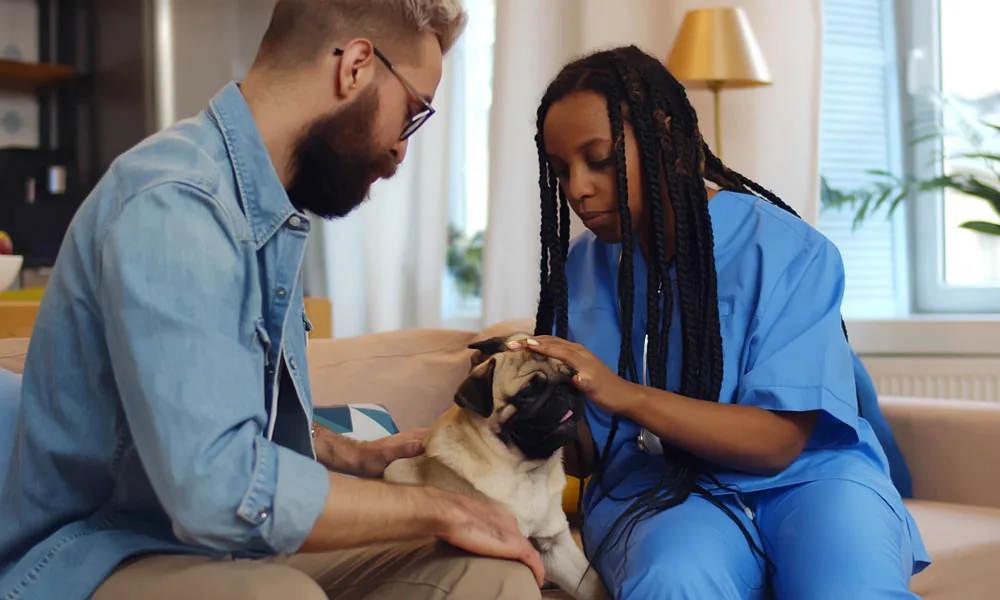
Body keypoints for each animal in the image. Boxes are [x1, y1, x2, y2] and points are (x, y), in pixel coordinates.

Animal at [384, 332, 608, 600]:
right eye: (528, 393)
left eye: (573, 375)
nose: (565, 388)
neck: (526, 473)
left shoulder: (556, 545)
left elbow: (592, 584)